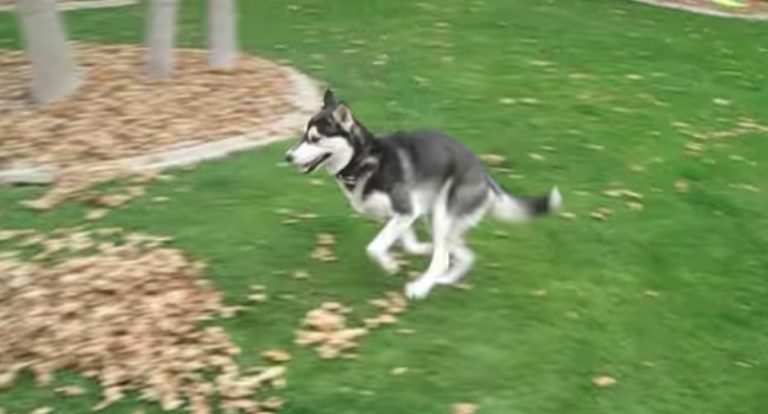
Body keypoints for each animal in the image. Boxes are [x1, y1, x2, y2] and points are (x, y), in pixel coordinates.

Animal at [284, 90, 560, 300]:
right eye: (303, 135)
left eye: (315, 139)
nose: (288, 157)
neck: (364, 161)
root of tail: (485, 176)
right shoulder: (404, 214)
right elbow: (409, 244)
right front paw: (412, 252)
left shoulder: (405, 210)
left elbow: (374, 247)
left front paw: (390, 264)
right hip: (439, 220)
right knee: (461, 255)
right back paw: (443, 278)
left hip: (441, 216)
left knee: (443, 259)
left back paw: (421, 287)